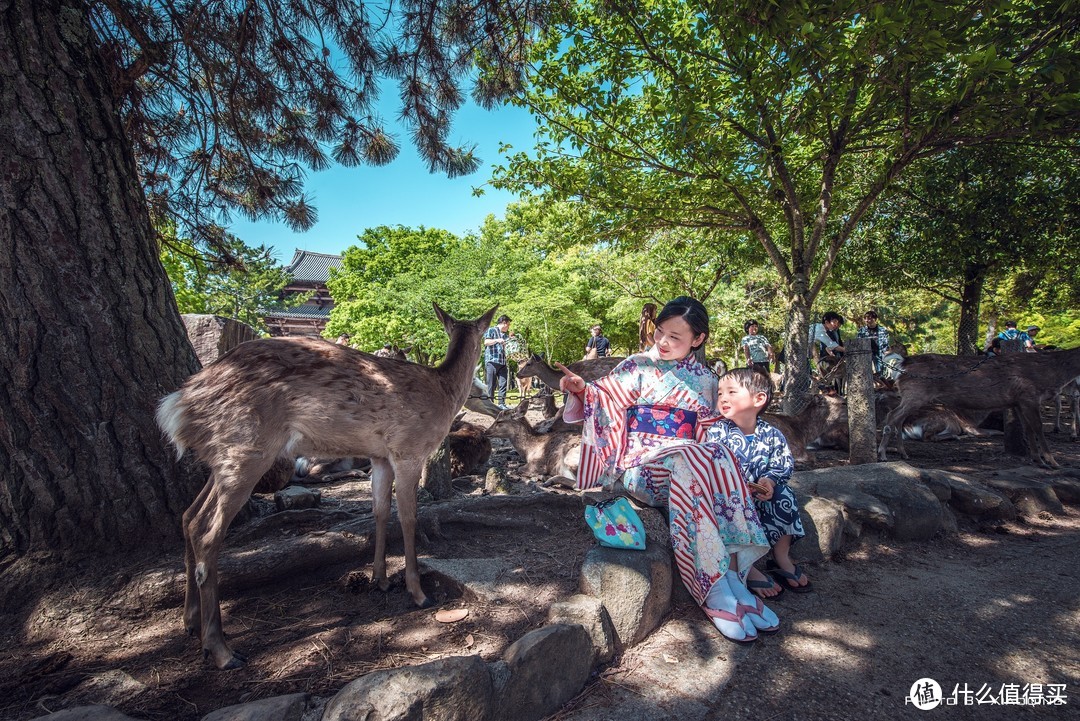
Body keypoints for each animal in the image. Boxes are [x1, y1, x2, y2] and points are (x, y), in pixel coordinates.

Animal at [156, 302, 496, 669]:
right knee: (207, 531)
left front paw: (380, 580)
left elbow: (379, 510)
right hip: (246, 447)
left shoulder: (380, 456)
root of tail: (180, 403)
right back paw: (221, 650)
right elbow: (408, 517)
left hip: (223, 456)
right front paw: (418, 593)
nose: (490, 398)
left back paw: (191, 622)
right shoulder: (408, 449)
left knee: (189, 517)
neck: (443, 393)